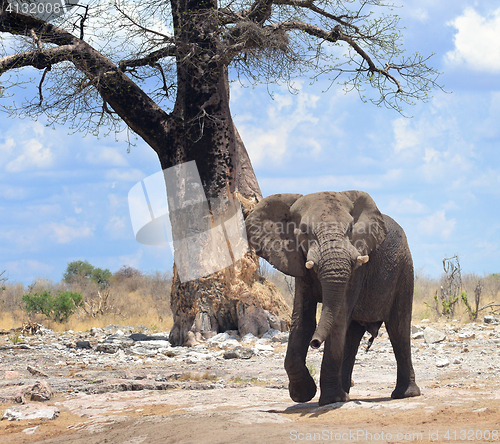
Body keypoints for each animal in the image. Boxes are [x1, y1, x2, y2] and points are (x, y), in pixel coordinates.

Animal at [246, 191, 422, 406]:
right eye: (304, 231)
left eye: (350, 229)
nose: (315, 343)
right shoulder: (299, 264)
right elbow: (302, 320)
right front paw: (303, 395)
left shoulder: (358, 265)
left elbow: (338, 318)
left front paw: (330, 400)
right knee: (353, 336)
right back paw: (346, 394)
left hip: (404, 269)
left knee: (398, 328)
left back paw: (405, 394)